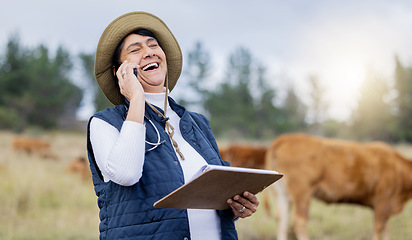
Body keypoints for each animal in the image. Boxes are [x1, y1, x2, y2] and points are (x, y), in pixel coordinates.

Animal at [266, 133, 412, 240]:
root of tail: (288, 137)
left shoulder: (386, 207)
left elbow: (386, 228)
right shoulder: (382, 201)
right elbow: (379, 227)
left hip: (282, 194)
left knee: (282, 220)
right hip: (302, 193)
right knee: (299, 221)